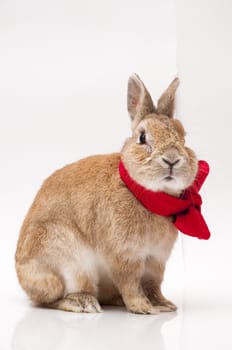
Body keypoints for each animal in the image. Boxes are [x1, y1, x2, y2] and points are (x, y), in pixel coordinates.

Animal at [14, 74, 198, 314]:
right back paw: (83, 303)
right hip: (67, 261)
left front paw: (164, 305)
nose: (172, 159)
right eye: (142, 138)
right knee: (50, 298)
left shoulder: (156, 259)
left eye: (184, 137)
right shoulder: (124, 255)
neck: (145, 194)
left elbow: (153, 284)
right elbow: (131, 283)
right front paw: (143, 308)